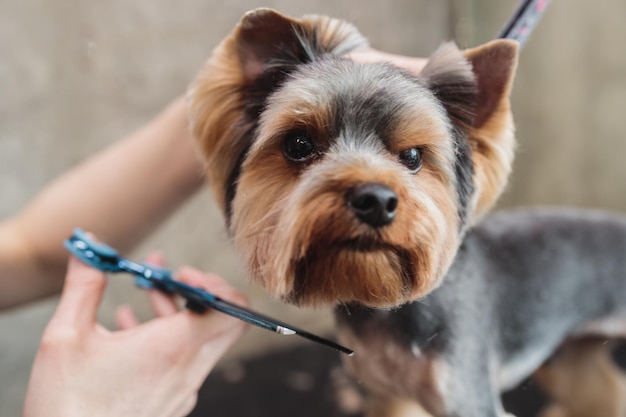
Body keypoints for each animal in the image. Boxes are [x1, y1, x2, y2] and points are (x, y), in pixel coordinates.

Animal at [188, 8, 624, 414]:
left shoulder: (468, 395)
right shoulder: (389, 395)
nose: (376, 201)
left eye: (413, 156)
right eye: (299, 144)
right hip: (572, 359)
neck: (385, 312)